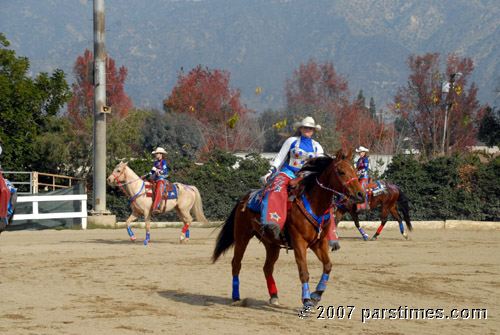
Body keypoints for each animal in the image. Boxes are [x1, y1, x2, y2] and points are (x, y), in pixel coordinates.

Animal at [211, 151, 364, 308]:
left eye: (356, 171)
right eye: (341, 172)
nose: (360, 194)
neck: (314, 205)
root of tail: (246, 197)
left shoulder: (318, 243)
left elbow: (328, 265)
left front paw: (316, 295)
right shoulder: (299, 242)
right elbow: (304, 272)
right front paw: (306, 301)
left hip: (271, 244)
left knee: (267, 268)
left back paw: (274, 296)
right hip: (242, 235)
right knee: (236, 263)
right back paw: (236, 297)